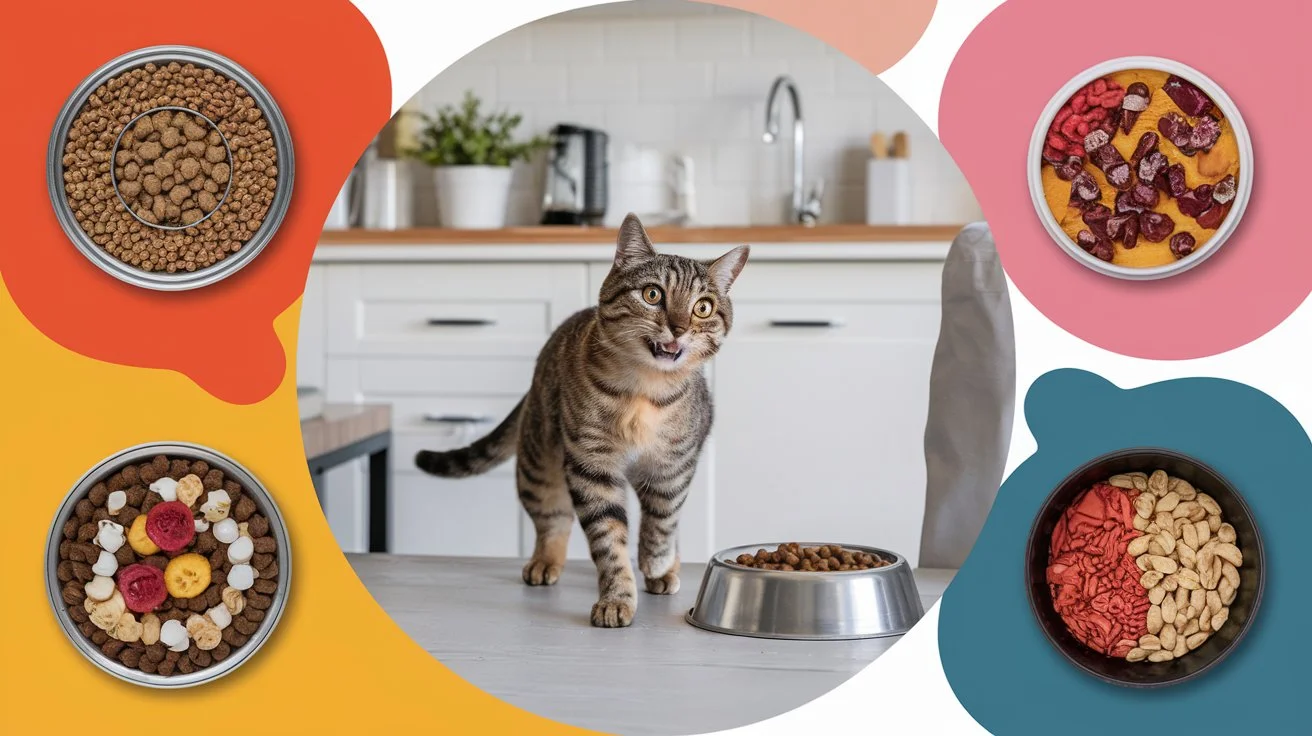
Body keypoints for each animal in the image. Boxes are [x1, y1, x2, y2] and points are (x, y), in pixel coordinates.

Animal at [419, 212, 750, 624]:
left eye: (702, 308)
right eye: (653, 294)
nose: (678, 328)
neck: (644, 392)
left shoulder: (674, 466)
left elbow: (662, 521)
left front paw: (656, 562)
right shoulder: (591, 464)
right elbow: (608, 538)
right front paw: (616, 598)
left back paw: (666, 568)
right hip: (538, 462)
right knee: (551, 520)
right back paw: (545, 562)